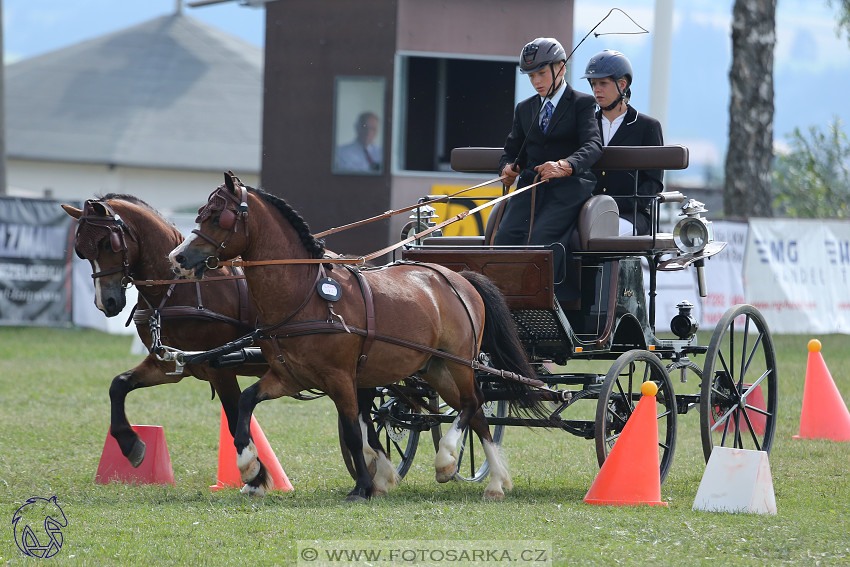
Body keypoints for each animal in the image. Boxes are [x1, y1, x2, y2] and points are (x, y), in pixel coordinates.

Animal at [61, 195, 264, 470]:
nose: (106, 303)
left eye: (107, 244)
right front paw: (130, 443)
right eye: (81, 252)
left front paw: (256, 471)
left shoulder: (219, 369)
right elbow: (118, 384)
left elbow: (235, 419)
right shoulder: (169, 364)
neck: (176, 288)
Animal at [166, 173, 540, 502]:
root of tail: (459, 277)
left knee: (473, 403)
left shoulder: (341, 378)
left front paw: (363, 486)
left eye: (219, 216)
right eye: (202, 213)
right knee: (473, 410)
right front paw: (248, 467)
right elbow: (246, 402)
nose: (178, 256)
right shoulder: (288, 376)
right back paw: (494, 482)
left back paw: (449, 461)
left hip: (459, 361)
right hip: (435, 367)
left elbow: (351, 431)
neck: (305, 294)